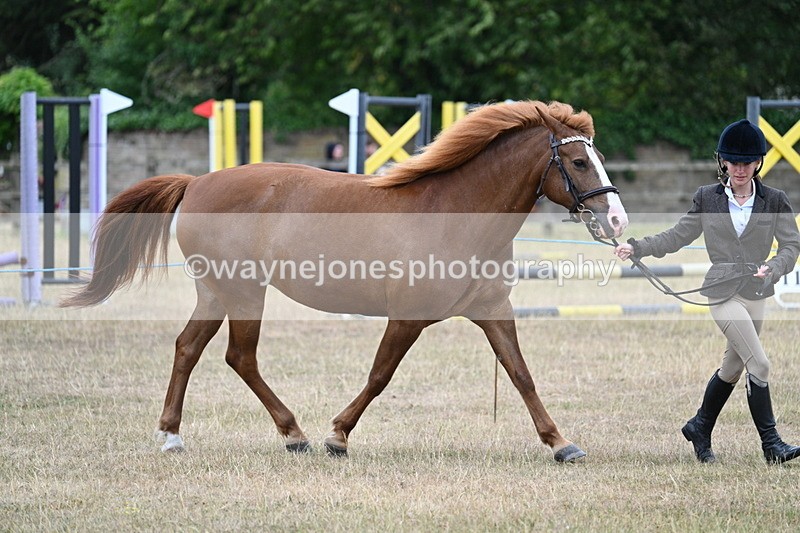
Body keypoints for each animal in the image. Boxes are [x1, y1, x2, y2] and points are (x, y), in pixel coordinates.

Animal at [62, 100, 628, 462]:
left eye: (597, 157)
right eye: (579, 160)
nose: (619, 221)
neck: (453, 214)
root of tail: (197, 182)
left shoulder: (493, 311)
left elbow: (521, 374)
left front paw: (560, 444)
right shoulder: (408, 318)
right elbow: (380, 376)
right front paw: (338, 436)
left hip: (216, 293)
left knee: (188, 348)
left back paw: (172, 436)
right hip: (244, 292)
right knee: (239, 357)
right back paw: (294, 434)